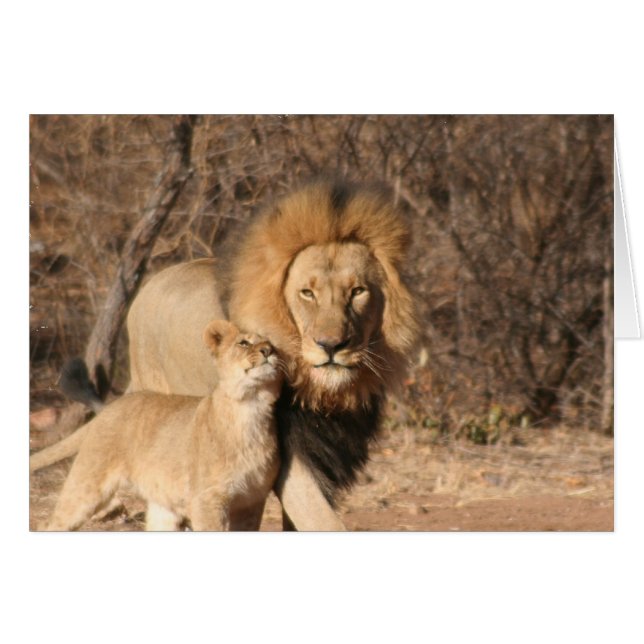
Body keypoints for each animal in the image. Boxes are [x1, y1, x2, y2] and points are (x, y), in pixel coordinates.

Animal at [30, 320, 283, 531]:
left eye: (272, 345)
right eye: (244, 343)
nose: (268, 351)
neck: (251, 406)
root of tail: (110, 406)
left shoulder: (251, 501)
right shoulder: (206, 501)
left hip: (163, 506)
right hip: (85, 488)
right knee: (51, 524)